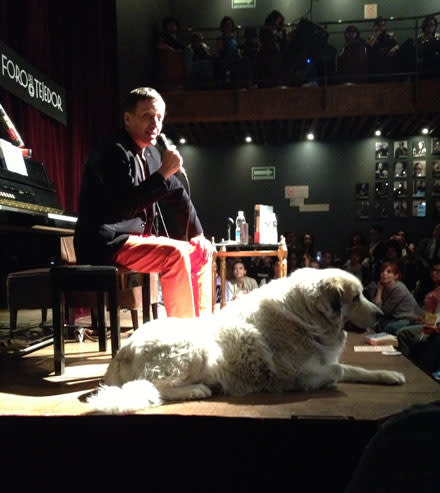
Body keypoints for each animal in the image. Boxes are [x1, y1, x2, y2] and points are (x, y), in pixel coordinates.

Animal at [88, 268, 406, 414]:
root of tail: (121, 350)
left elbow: (354, 369)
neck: (305, 316)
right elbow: (338, 370)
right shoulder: (297, 375)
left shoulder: (322, 359)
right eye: (356, 297)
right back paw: (197, 390)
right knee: (153, 387)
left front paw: (388, 375)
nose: (381, 314)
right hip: (194, 349)